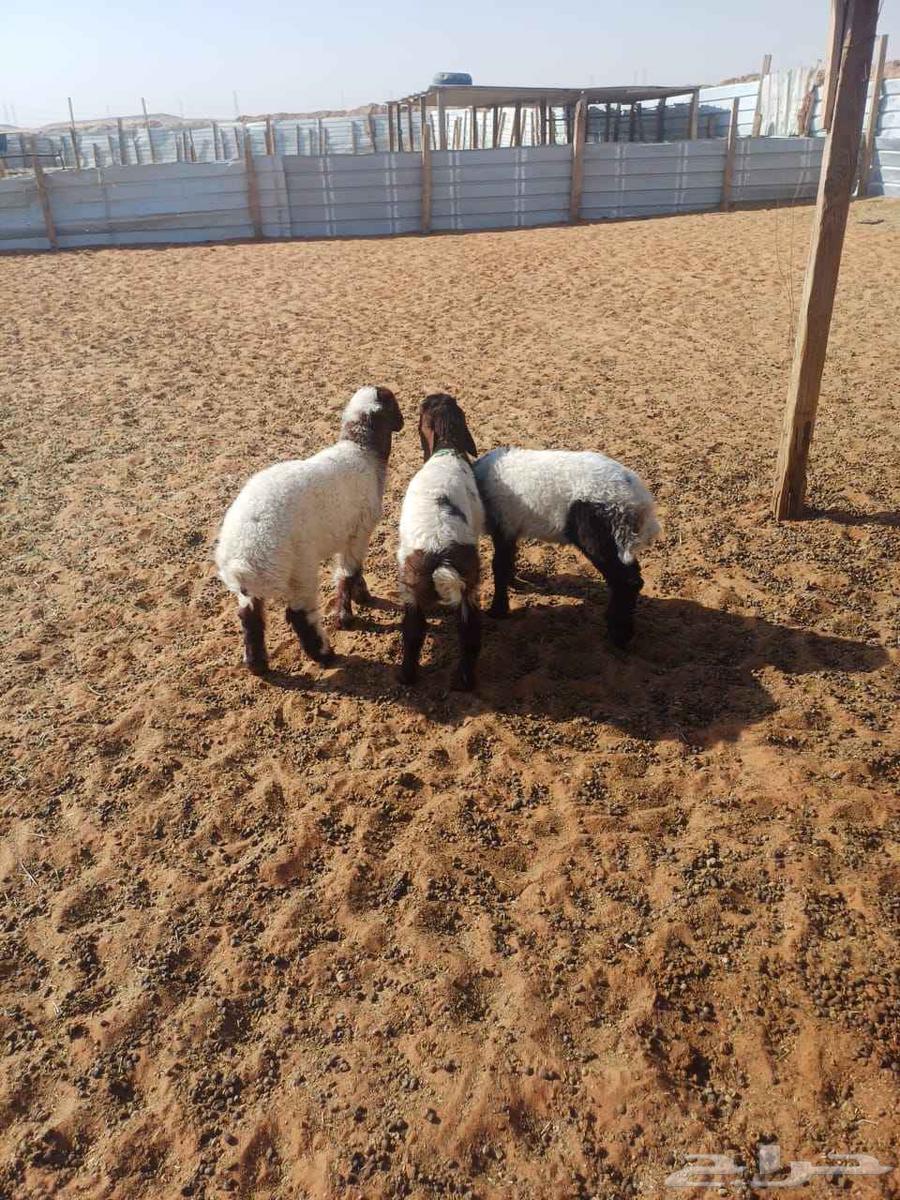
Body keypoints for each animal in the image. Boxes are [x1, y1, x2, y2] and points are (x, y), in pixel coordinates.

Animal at [216, 385, 404, 674]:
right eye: (394, 405)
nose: (403, 424)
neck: (362, 451)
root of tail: (242, 556)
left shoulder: (347, 534)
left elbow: (352, 570)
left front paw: (362, 596)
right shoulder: (359, 531)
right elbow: (348, 573)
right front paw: (346, 617)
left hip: (253, 589)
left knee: (250, 618)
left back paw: (257, 665)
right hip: (299, 569)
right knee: (298, 615)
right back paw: (324, 655)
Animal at [397, 394, 485, 690]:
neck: (447, 449)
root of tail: (440, 552)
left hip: (416, 589)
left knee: (416, 633)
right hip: (464, 584)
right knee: (466, 633)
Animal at [473, 447, 660, 646]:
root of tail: (640, 503)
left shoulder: (502, 524)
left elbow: (499, 565)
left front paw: (497, 610)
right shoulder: (510, 525)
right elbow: (508, 559)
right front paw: (514, 583)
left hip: (598, 532)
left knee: (626, 581)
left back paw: (619, 635)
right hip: (618, 539)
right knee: (633, 576)